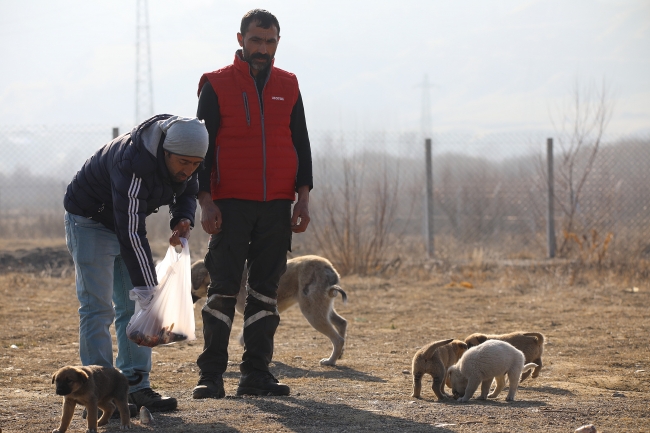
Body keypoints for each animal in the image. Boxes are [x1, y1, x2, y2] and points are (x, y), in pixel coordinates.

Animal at [190, 255, 346, 366]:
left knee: (337, 339)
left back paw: (331, 361)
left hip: (312, 311)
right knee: (342, 323)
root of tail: (329, 269)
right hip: (322, 308)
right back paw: (339, 354)